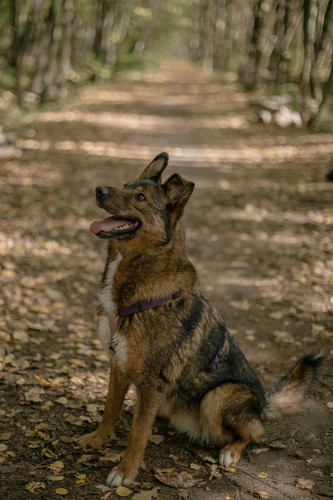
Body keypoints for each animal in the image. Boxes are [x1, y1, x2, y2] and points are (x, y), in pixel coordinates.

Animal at [78, 151, 322, 484]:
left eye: (140, 198)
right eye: (125, 185)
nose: (99, 190)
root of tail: (262, 404)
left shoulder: (151, 381)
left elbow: (137, 434)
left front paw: (125, 471)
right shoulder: (118, 363)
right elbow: (109, 409)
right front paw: (98, 438)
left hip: (217, 397)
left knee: (253, 434)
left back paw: (230, 451)